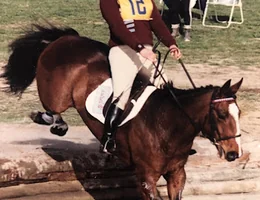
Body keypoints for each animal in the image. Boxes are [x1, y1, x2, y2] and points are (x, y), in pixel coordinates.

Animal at [0, 24, 244, 200]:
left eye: (238, 114)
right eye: (221, 115)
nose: (234, 153)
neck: (169, 125)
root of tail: (66, 39)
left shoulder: (177, 174)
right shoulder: (146, 177)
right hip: (58, 94)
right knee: (53, 108)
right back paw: (53, 122)